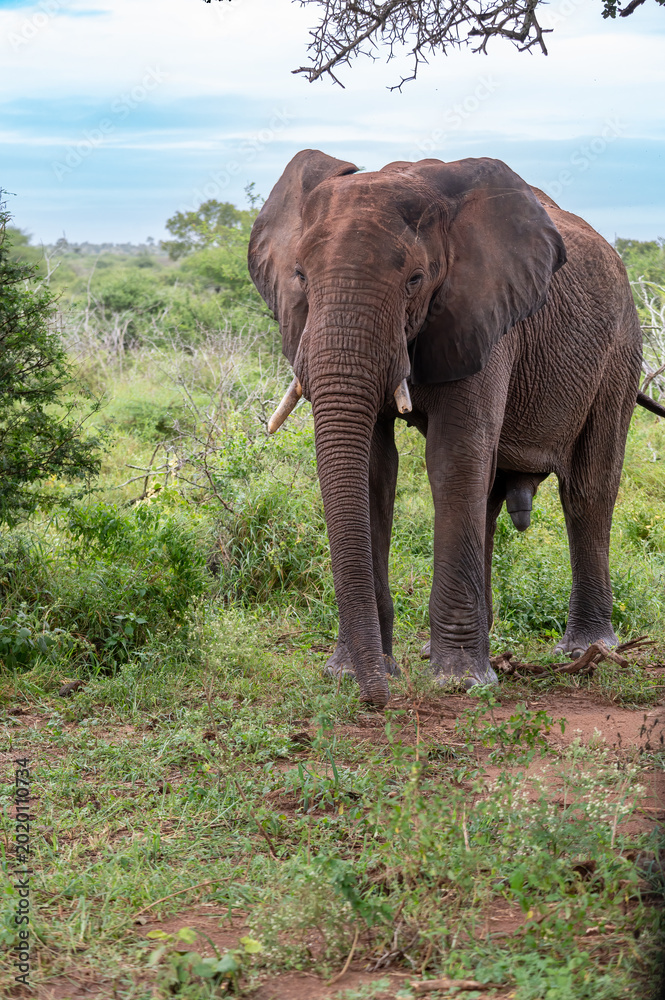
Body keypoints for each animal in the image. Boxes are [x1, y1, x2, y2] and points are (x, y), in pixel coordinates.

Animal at [248, 148, 651, 709]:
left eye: (415, 279)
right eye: (301, 276)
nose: (377, 700)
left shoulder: (486, 315)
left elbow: (453, 459)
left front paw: (459, 683)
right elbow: (375, 471)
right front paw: (355, 672)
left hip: (620, 348)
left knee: (588, 489)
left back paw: (584, 649)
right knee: (491, 498)